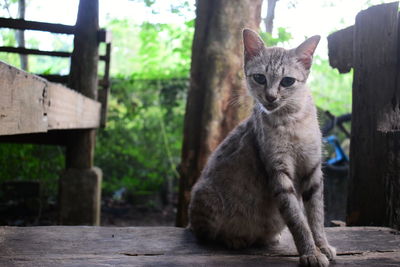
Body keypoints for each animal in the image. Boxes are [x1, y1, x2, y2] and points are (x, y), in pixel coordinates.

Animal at [189, 29, 336, 267]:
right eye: (260, 78)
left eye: (287, 81)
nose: (270, 97)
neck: (291, 121)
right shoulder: (278, 171)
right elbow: (298, 220)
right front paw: (310, 252)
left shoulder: (313, 169)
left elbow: (316, 217)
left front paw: (321, 246)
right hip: (207, 199)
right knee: (206, 234)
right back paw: (234, 238)